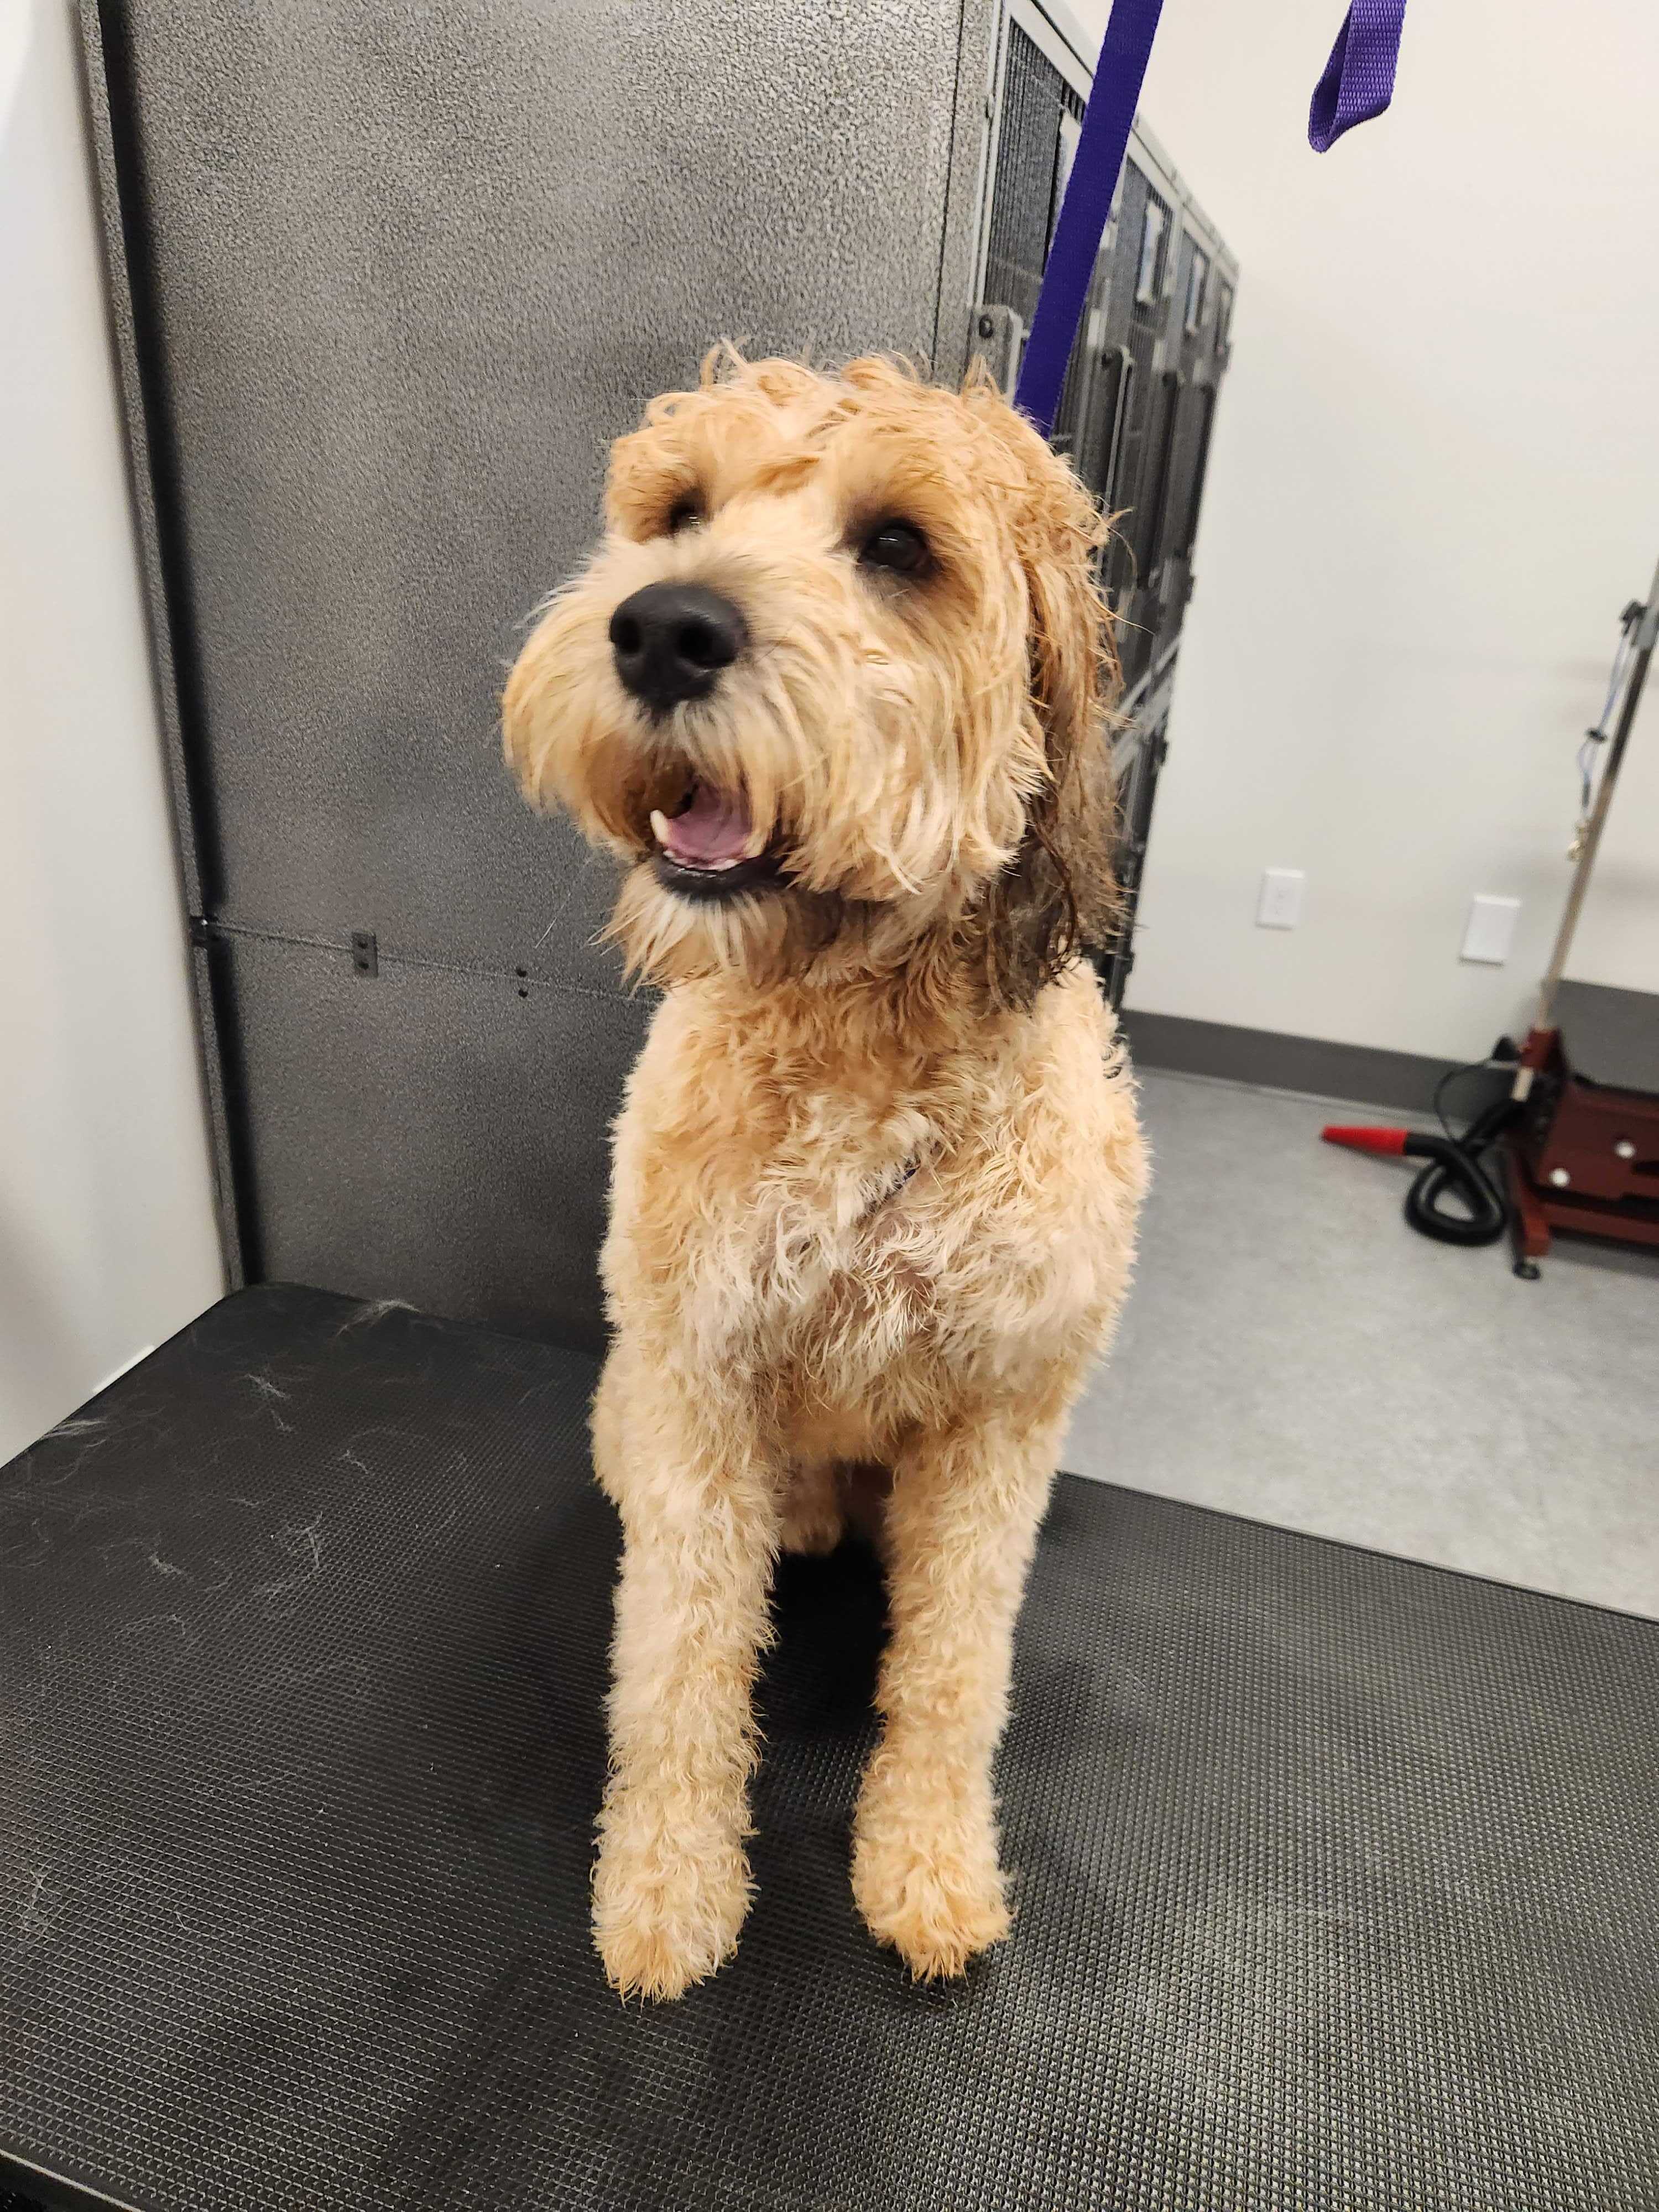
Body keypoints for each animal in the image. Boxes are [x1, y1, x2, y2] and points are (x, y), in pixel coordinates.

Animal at [502, 351, 1146, 2001]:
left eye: (902, 547)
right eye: (679, 510)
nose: (662, 626)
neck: (864, 1041)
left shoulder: (997, 1430)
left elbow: (954, 1676)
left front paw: (926, 1866)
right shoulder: (697, 1381)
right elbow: (677, 1662)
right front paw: (665, 1889)